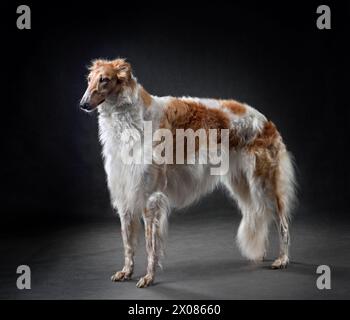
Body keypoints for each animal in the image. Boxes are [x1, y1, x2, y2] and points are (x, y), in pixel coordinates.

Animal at [79, 57, 296, 288]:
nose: (83, 104)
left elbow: (150, 245)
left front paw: (148, 277)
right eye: (89, 79)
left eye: (104, 80)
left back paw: (282, 259)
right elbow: (128, 242)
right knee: (261, 215)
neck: (132, 120)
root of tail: (266, 120)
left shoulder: (150, 196)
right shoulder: (125, 193)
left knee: (283, 223)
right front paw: (126, 272)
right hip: (241, 184)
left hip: (263, 185)